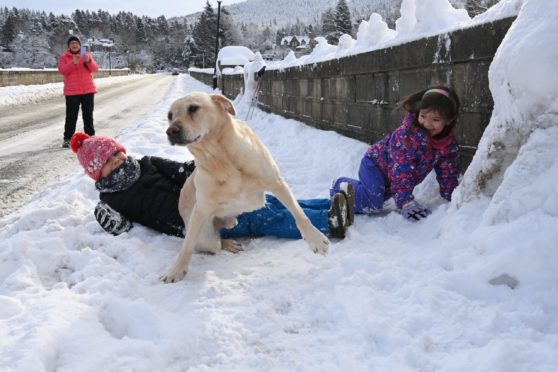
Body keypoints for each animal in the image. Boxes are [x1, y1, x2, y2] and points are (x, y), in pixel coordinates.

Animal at [162, 93, 328, 282]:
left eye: (193, 108)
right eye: (170, 116)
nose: (170, 131)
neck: (221, 159)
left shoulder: (277, 183)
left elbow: (300, 214)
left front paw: (316, 240)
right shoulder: (201, 208)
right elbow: (187, 246)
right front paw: (176, 270)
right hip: (205, 236)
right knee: (215, 242)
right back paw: (229, 242)